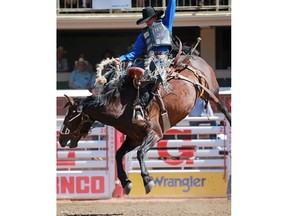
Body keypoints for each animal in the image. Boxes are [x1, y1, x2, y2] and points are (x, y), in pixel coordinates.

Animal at [57, 53, 231, 195]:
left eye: (71, 115)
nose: (61, 138)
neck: (122, 108)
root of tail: (194, 57)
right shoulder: (134, 139)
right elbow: (118, 154)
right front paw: (126, 182)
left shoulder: (155, 134)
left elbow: (140, 153)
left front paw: (148, 180)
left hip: (212, 91)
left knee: (223, 106)